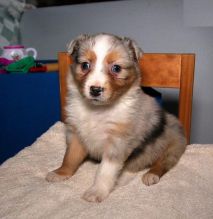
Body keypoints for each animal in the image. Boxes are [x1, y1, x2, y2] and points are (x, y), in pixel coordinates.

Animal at [45, 33, 186, 203]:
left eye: (116, 68)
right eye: (85, 65)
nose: (95, 90)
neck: (97, 110)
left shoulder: (117, 141)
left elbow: (105, 170)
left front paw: (96, 191)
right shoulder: (76, 133)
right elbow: (70, 157)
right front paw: (61, 173)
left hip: (169, 145)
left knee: (162, 162)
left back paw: (149, 175)